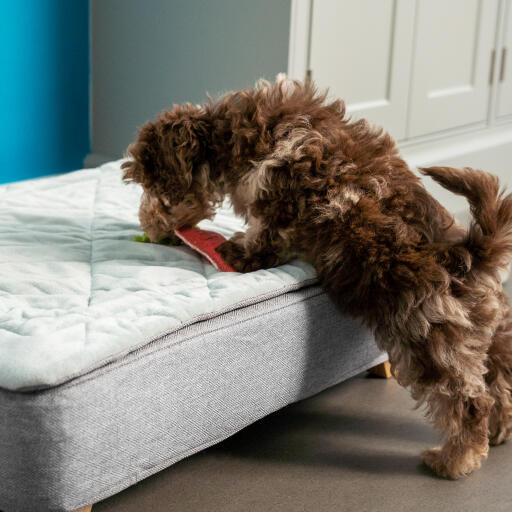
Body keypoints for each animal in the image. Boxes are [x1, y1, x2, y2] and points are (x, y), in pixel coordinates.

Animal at [123, 76, 512, 480]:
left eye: (152, 189)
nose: (148, 228)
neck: (232, 135)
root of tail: (471, 253)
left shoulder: (282, 200)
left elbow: (264, 237)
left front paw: (235, 252)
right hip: (484, 328)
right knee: (500, 377)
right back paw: (499, 431)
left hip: (427, 331)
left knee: (466, 399)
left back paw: (455, 459)